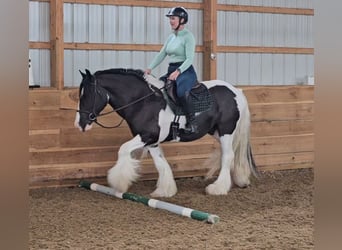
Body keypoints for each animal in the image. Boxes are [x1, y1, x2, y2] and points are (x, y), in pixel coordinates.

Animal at [74, 68, 256, 197]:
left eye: (87, 95)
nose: (80, 124)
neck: (144, 101)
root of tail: (236, 91)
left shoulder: (146, 136)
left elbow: (123, 149)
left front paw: (119, 182)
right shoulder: (153, 141)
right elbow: (160, 163)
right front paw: (165, 190)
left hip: (226, 131)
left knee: (228, 155)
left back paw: (217, 188)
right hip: (218, 132)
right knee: (231, 154)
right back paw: (240, 180)